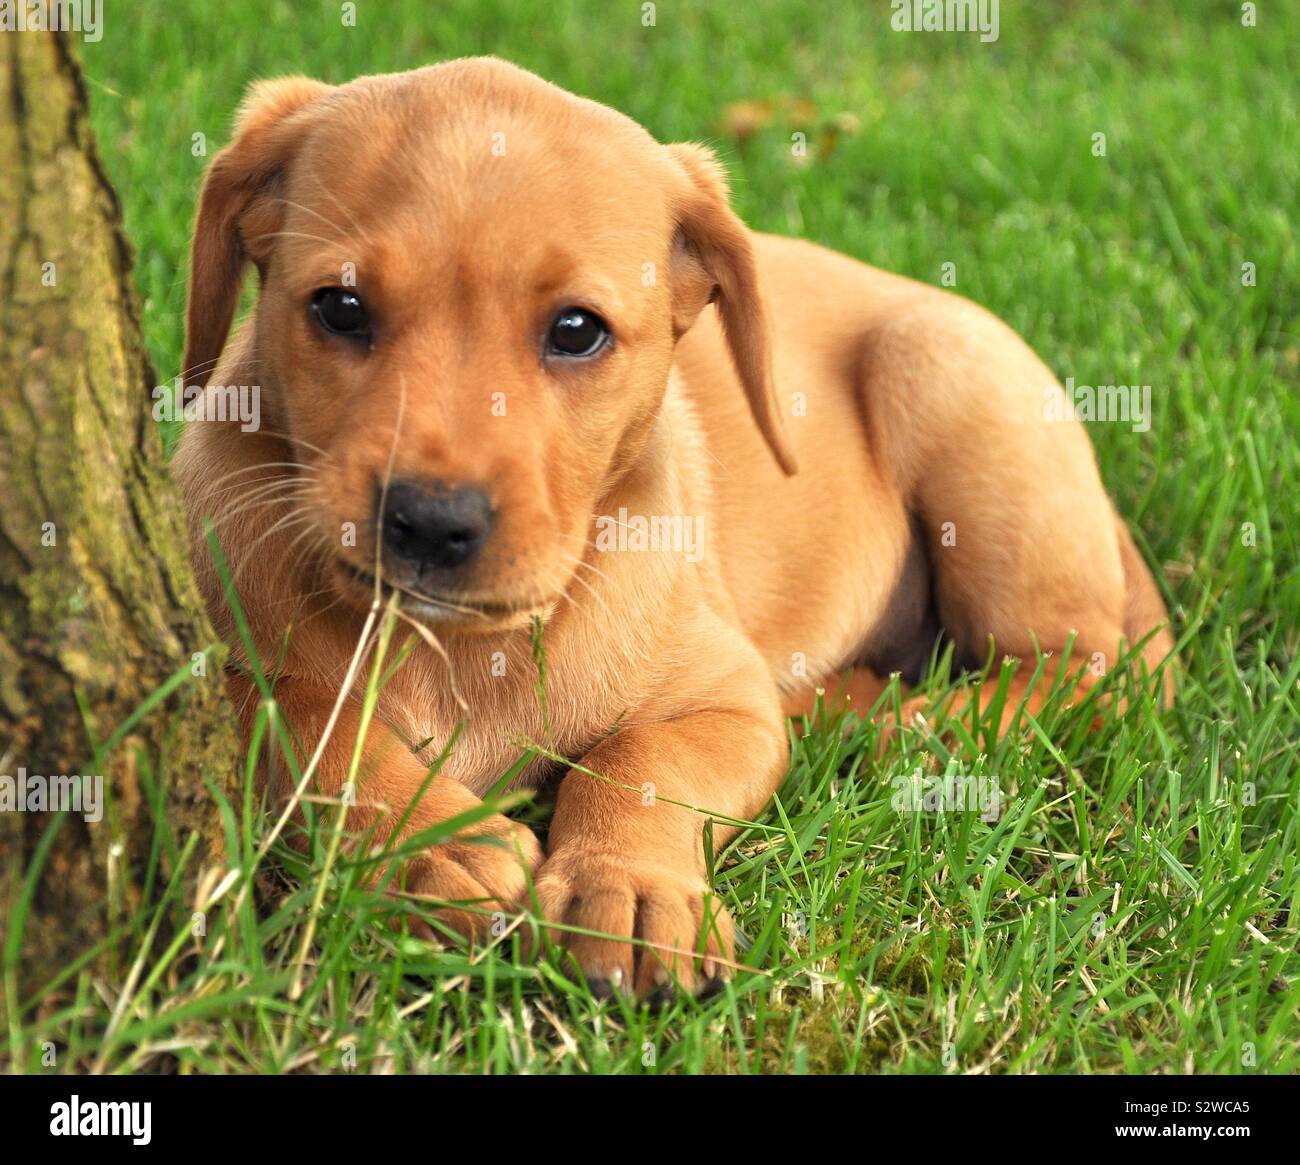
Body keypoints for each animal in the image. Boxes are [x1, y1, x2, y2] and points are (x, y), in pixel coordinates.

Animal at [167, 59, 1175, 998]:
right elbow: (303, 721)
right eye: (339, 308)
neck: (464, 651)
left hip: (942, 371)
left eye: (577, 330)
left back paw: (881, 715)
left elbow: (643, 753)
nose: (430, 521)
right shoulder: (215, 661)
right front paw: (432, 845)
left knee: (1089, 669)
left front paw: (629, 885)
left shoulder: (727, 698)